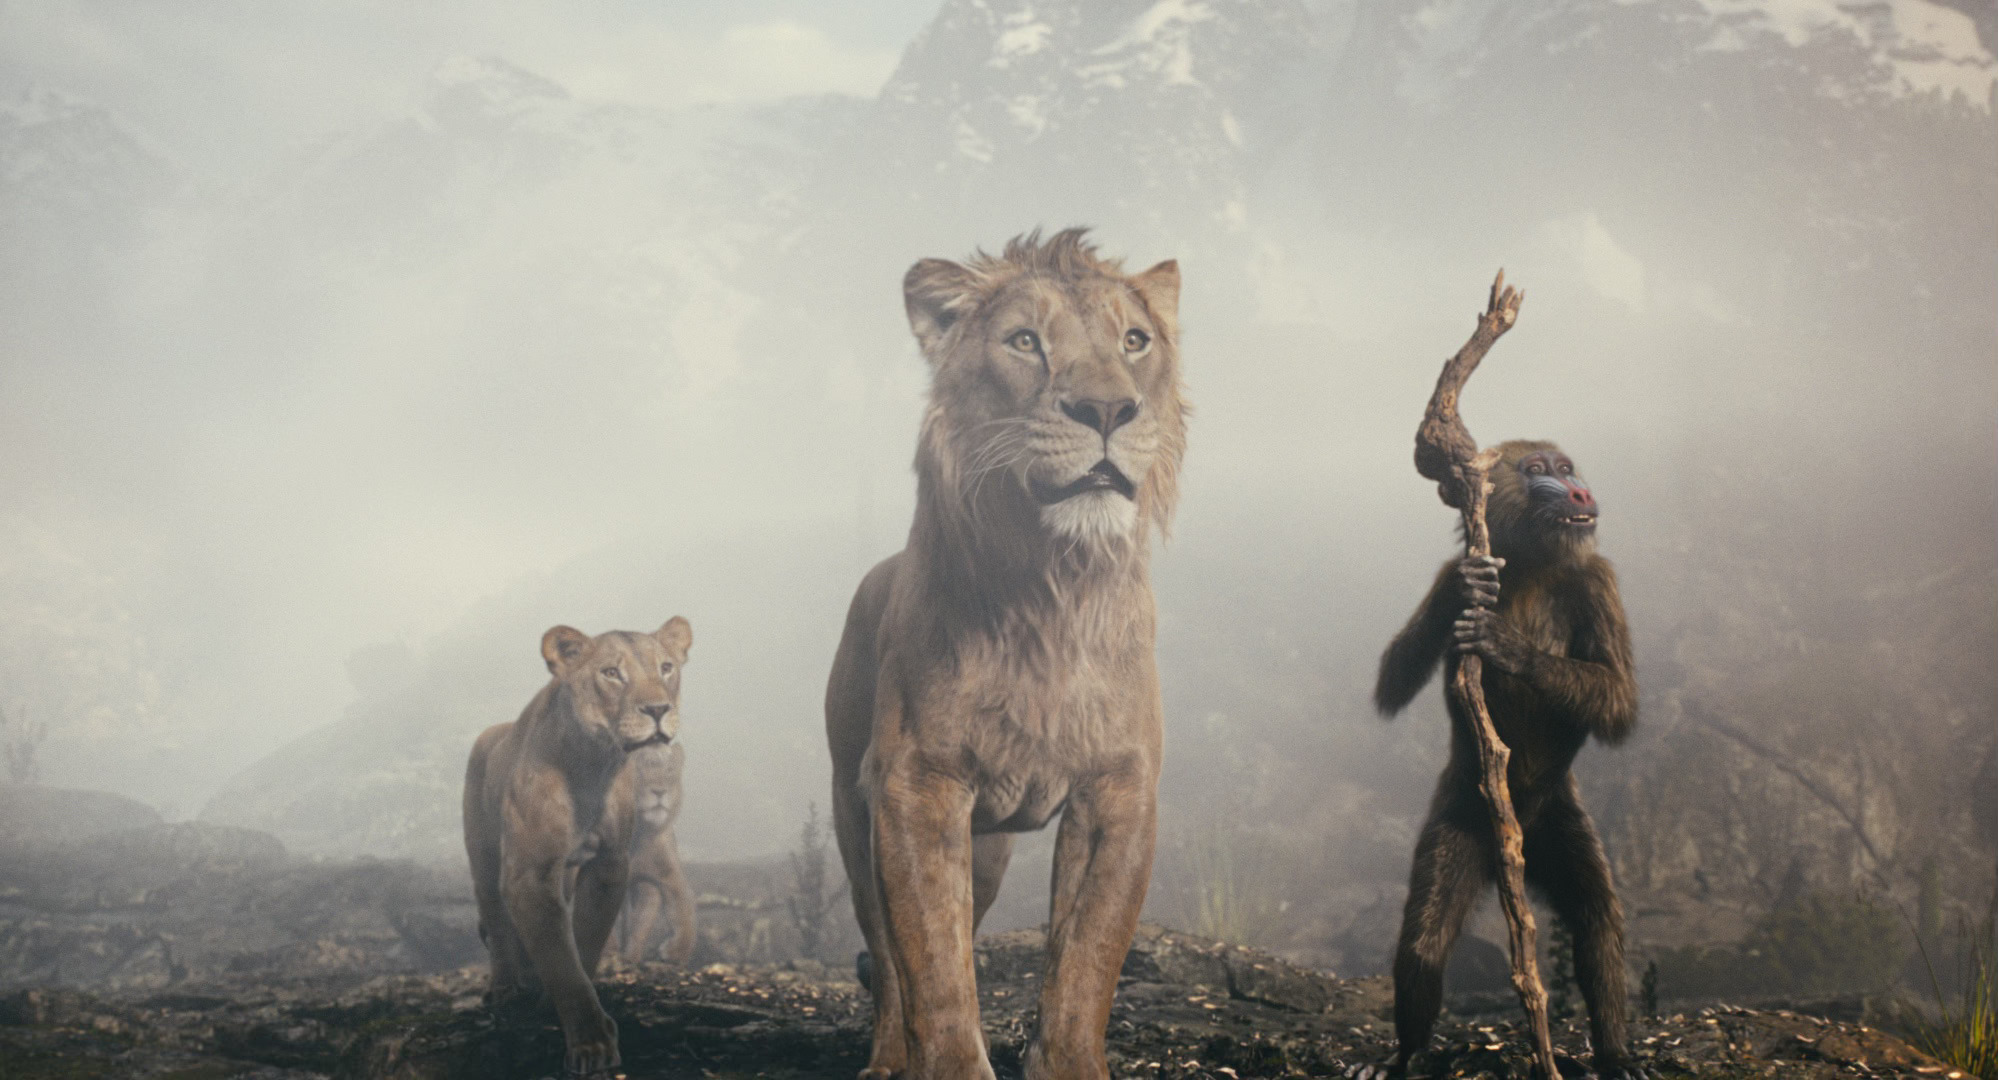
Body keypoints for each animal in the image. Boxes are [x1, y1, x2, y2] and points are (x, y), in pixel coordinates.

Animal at [613, 738, 697, 966]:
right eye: (639, 771)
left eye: (669, 771)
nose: (659, 792)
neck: (638, 833)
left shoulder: (662, 876)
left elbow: (683, 909)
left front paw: (676, 952)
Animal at [825, 228, 1187, 1080]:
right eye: (1025, 342)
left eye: (1135, 341)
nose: (1106, 409)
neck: (1053, 588)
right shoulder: (916, 785)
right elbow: (933, 966)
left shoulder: (1119, 789)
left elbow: (1086, 960)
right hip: (855, 811)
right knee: (888, 959)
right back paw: (887, 1058)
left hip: (986, 850)